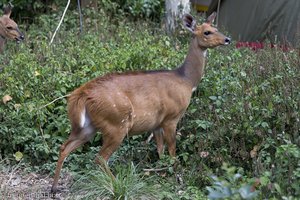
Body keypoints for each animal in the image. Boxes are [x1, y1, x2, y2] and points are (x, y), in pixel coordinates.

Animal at [51, 11, 230, 192]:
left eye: (216, 28)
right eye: (207, 32)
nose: (227, 39)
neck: (186, 81)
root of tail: (81, 94)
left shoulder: (156, 124)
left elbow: (160, 150)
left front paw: (162, 174)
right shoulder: (171, 118)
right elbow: (172, 150)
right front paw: (176, 178)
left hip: (87, 126)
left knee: (64, 147)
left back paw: (54, 188)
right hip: (117, 124)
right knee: (100, 157)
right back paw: (117, 185)